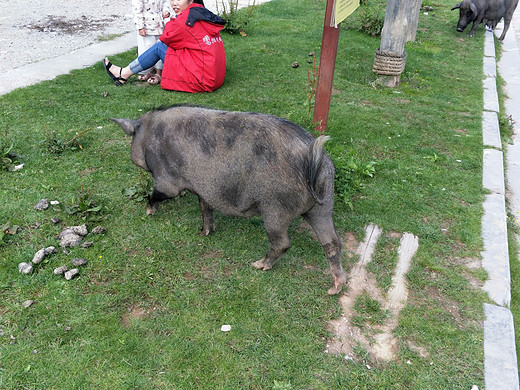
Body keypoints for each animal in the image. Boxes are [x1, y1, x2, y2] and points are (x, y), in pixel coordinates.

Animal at [112, 105, 348, 294]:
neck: (148, 132)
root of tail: (314, 158)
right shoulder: (203, 189)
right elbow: (205, 207)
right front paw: (203, 233)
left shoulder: (166, 181)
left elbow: (158, 194)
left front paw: (149, 212)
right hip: (323, 204)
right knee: (333, 243)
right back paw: (334, 289)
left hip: (275, 208)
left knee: (283, 243)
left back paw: (258, 265)